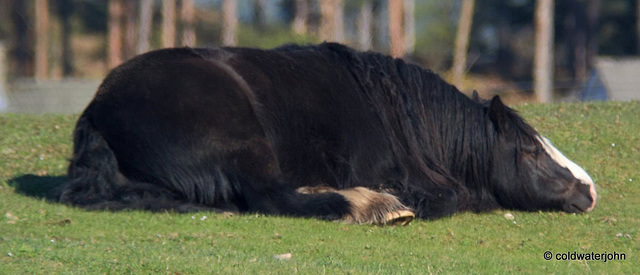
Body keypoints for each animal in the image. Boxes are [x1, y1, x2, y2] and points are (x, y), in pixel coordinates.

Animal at [58, 42, 596, 225]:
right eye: (530, 150)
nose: (589, 190)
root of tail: (99, 109)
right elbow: (447, 198)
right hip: (241, 143)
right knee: (272, 196)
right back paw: (369, 205)